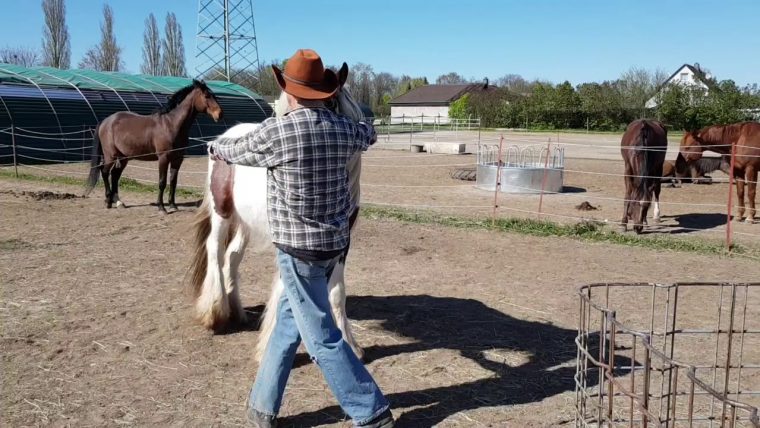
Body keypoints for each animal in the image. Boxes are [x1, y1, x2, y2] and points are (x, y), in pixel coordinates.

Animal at [87, 79, 223, 213]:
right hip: (110, 156)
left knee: (115, 175)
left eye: (214, 96)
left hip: (123, 157)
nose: (219, 114)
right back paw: (108, 201)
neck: (171, 124)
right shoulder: (163, 158)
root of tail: (105, 121)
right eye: (206, 96)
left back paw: (119, 202)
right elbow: (162, 182)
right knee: (105, 172)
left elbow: (173, 181)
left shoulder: (177, 159)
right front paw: (161, 207)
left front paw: (173, 205)